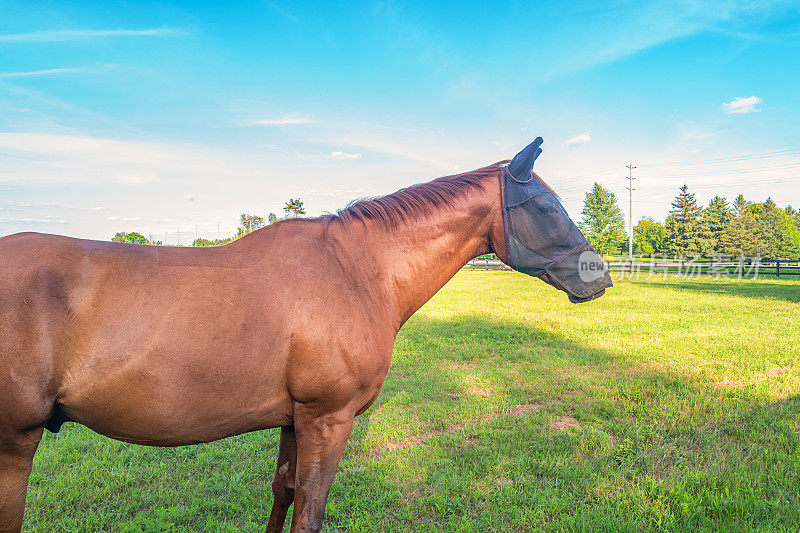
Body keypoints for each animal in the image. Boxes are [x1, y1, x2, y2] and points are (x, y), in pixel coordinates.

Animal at [0, 139, 608, 528]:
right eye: (544, 205)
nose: (597, 274)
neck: (358, 270)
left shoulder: (294, 421)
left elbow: (283, 494)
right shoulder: (327, 420)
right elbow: (309, 510)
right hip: (13, 447)